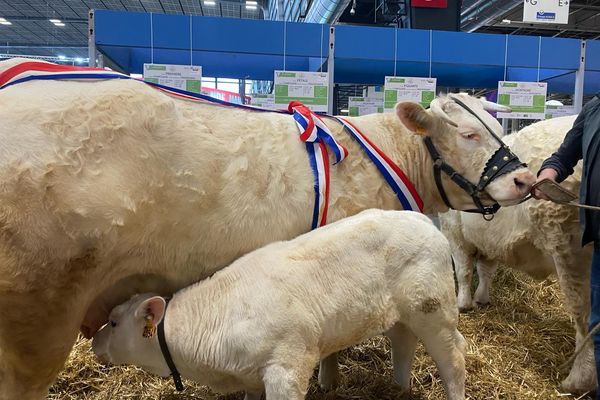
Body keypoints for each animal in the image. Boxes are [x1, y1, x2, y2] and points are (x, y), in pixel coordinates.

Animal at [91, 209, 468, 400]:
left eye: (114, 321)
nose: (93, 341)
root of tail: (420, 219)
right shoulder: (250, 379)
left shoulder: (287, 368)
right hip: (401, 316)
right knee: (404, 344)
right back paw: (398, 389)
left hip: (433, 310)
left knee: (454, 360)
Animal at [438, 114, 596, 392]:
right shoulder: (488, 239)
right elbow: (485, 269)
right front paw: (481, 298)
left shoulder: (455, 231)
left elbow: (464, 270)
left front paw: (463, 303)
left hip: (571, 251)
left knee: (583, 316)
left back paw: (577, 380)